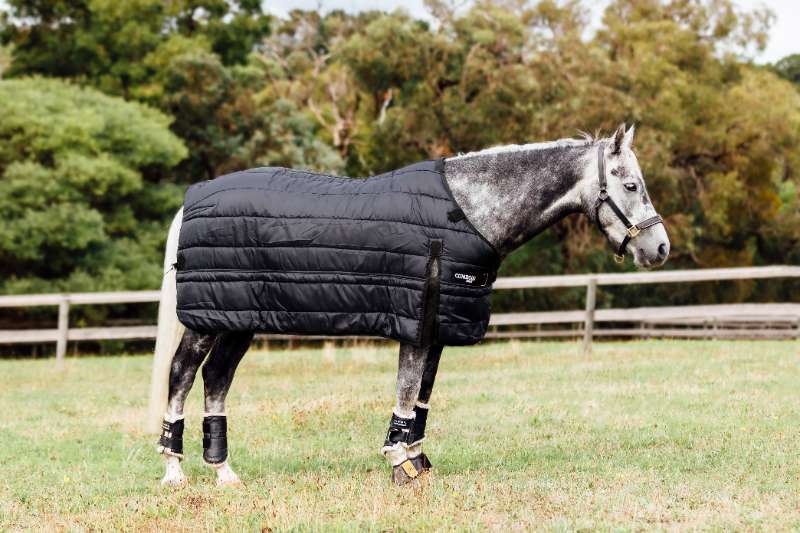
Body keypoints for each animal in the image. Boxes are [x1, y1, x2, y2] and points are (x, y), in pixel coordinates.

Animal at [151, 124, 669, 487]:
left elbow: (421, 397)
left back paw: (224, 472)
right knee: (182, 375)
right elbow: (405, 390)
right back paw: (174, 470)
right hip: (205, 320)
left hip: (237, 319)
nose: (660, 248)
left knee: (217, 379)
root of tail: (194, 198)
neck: (466, 212)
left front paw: (417, 458)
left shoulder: (437, 326)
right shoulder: (415, 324)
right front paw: (400, 464)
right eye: (630, 185)